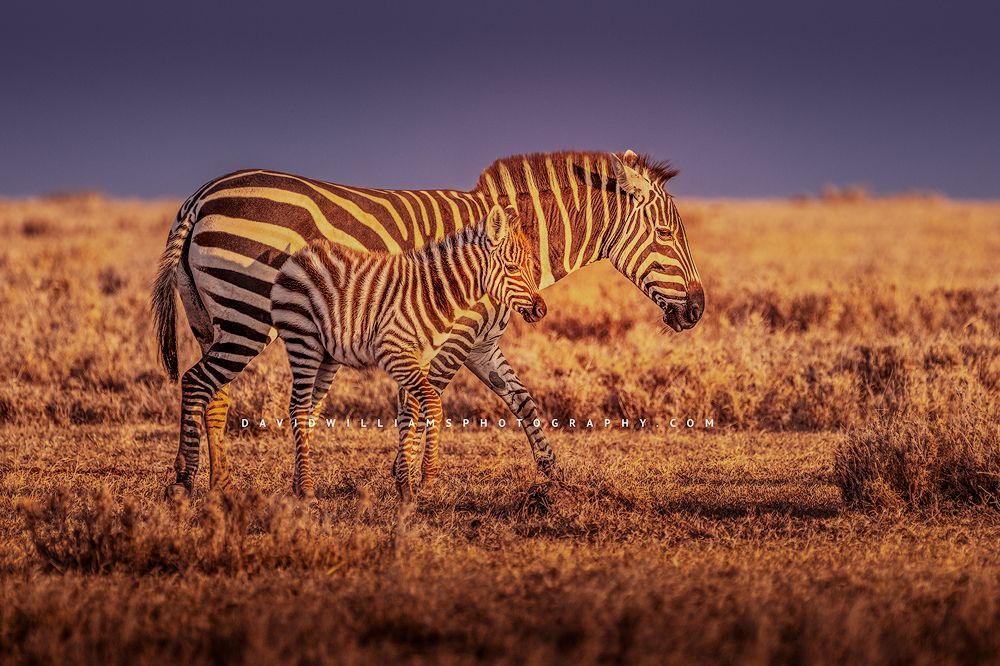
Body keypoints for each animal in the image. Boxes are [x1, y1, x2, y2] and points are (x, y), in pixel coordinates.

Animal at [271, 204, 544, 500]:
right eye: (512, 268)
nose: (541, 310)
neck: (436, 295)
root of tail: (300, 254)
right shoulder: (394, 353)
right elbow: (433, 405)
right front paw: (427, 475)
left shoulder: (420, 358)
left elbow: (410, 415)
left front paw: (405, 484)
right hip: (302, 339)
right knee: (298, 407)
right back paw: (307, 489)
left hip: (327, 355)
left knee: (312, 407)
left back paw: (298, 484)